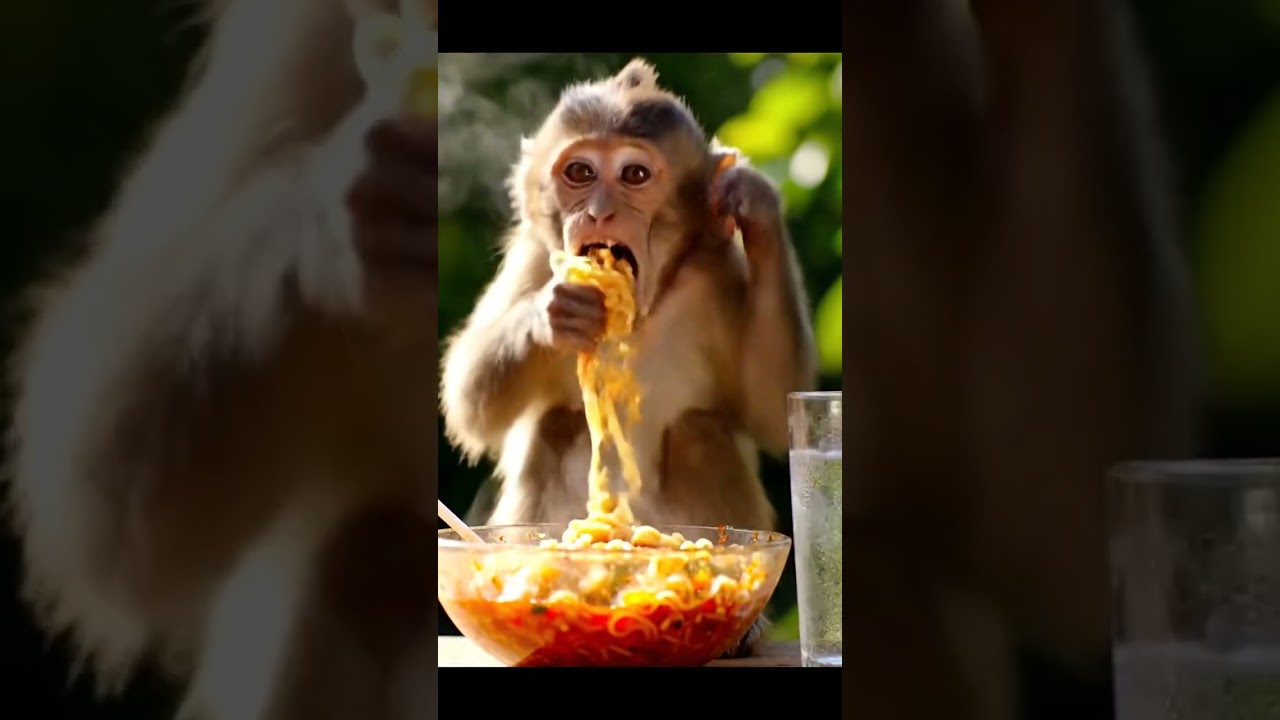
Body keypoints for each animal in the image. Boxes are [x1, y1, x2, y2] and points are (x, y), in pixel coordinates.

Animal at [439, 58, 819, 656]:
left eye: (634, 175)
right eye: (579, 172)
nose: (597, 212)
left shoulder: (716, 271)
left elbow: (769, 403)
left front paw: (754, 201)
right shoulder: (533, 257)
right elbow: (470, 402)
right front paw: (555, 313)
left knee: (698, 430)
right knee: (556, 424)